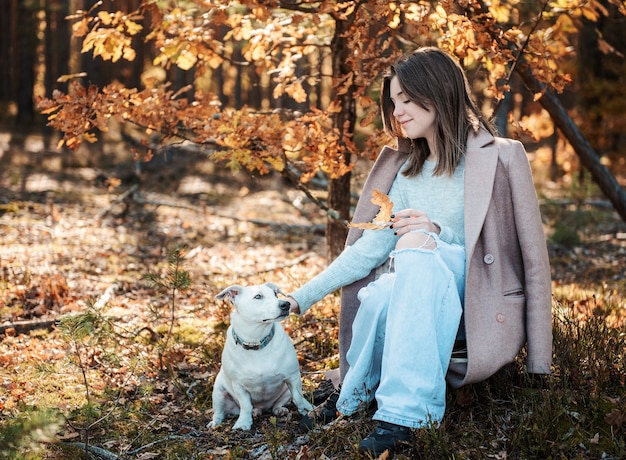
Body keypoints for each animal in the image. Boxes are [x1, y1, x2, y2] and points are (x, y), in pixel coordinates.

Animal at [207, 282, 312, 430]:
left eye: (275, 294)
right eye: (258, 296)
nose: (286, 304)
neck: (256, 341)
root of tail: (263, 408)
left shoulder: (293, 377)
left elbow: (298, 398)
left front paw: (306, 409)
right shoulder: (239, 386)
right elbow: (246, 406)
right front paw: (243, 423)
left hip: (285, 391)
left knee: (277, 404)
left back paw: (279, 410)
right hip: (218, 392)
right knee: (220, 412)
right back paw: (216, 422)